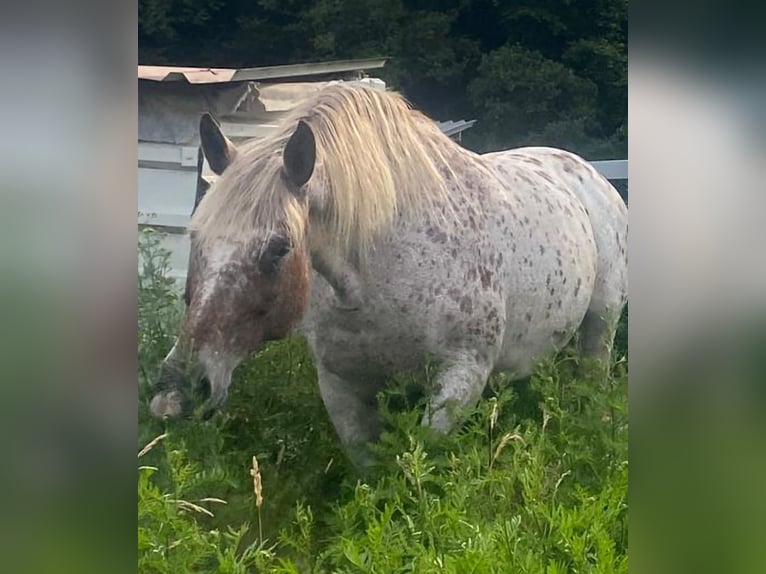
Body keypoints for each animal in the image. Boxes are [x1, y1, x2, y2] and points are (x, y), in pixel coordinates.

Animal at [149, 84, 628, 467]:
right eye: (195, 235)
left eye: (279, 247)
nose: (176, 393)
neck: (377, 274)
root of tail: (589, 173)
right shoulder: (341, 386)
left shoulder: (460, 378)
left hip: (600, 329)